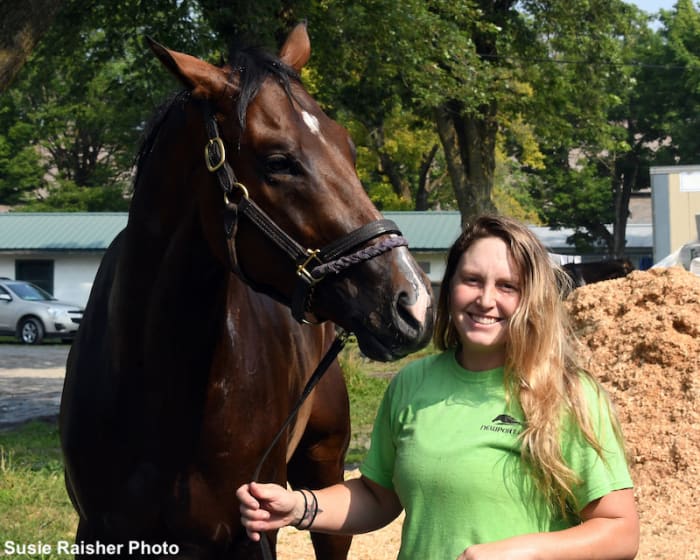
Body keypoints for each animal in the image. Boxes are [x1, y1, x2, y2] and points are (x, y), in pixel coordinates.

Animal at [60, 23, 432, 560]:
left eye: (349, 148)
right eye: (278, 161)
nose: (413, 302)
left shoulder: (250, 533)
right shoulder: (99, 532)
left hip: (325, 467)